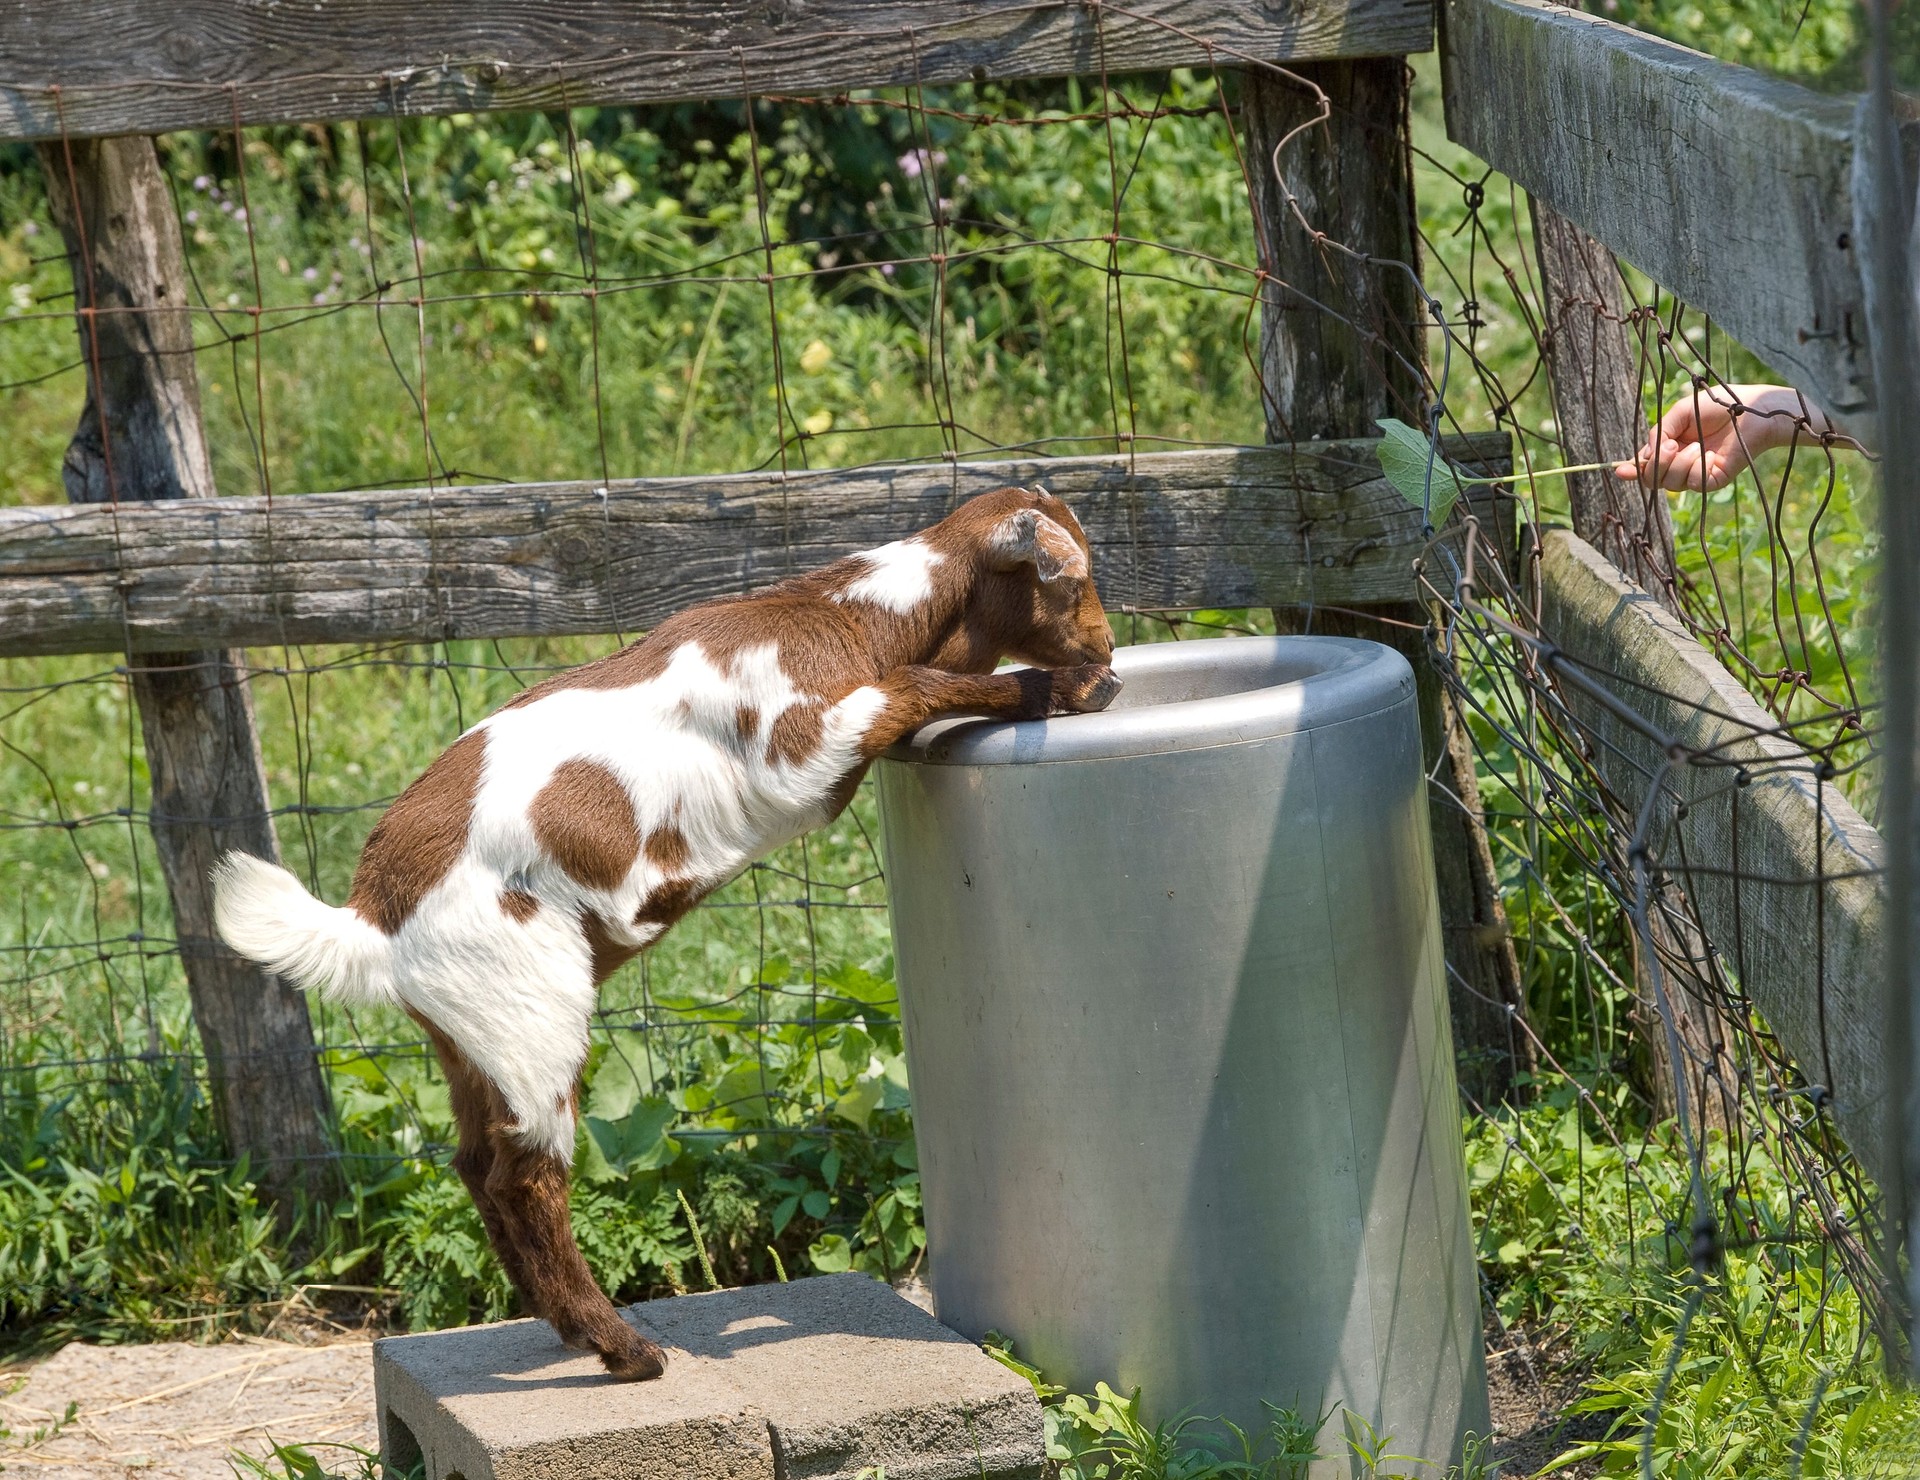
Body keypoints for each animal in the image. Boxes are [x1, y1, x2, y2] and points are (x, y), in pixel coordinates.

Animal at [214, 491, 1113, 1382]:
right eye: (1073, 581)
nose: (1107, 649)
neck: (845, 619)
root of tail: (373, 916)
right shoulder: (805, 746)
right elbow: (920, 682)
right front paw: (1066, 687)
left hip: (471, 1034)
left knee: (474, 1164)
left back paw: (570, 1329)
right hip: (534, 1013)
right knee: (525, 1179)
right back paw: (625, 1349)